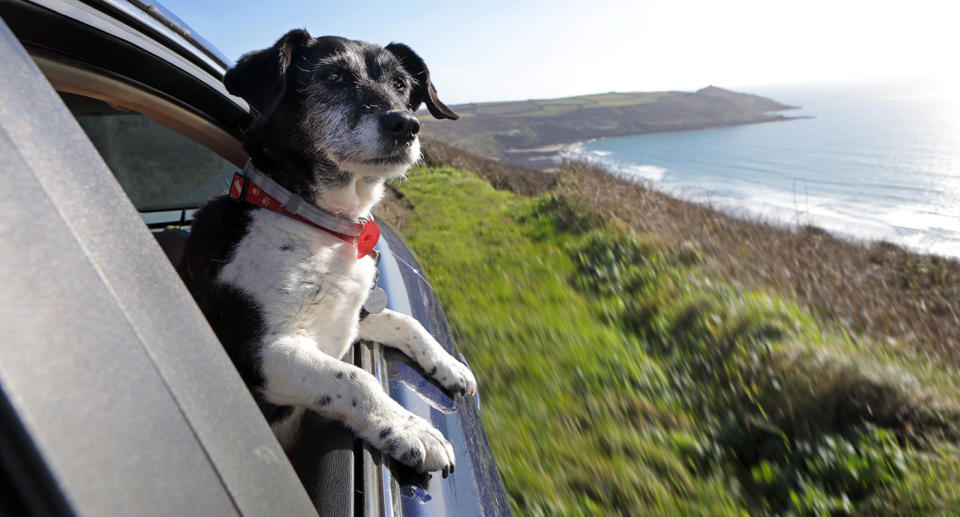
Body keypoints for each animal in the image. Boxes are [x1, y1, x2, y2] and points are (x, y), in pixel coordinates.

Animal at [177, 28, 476, 474]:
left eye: (401, 85)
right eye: (332, 77)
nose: (405, 125)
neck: (317, 225)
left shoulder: (351, 317)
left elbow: (406, 323)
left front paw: (450, 366)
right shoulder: (258, 353)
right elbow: (356, 380)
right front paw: (412, 430)